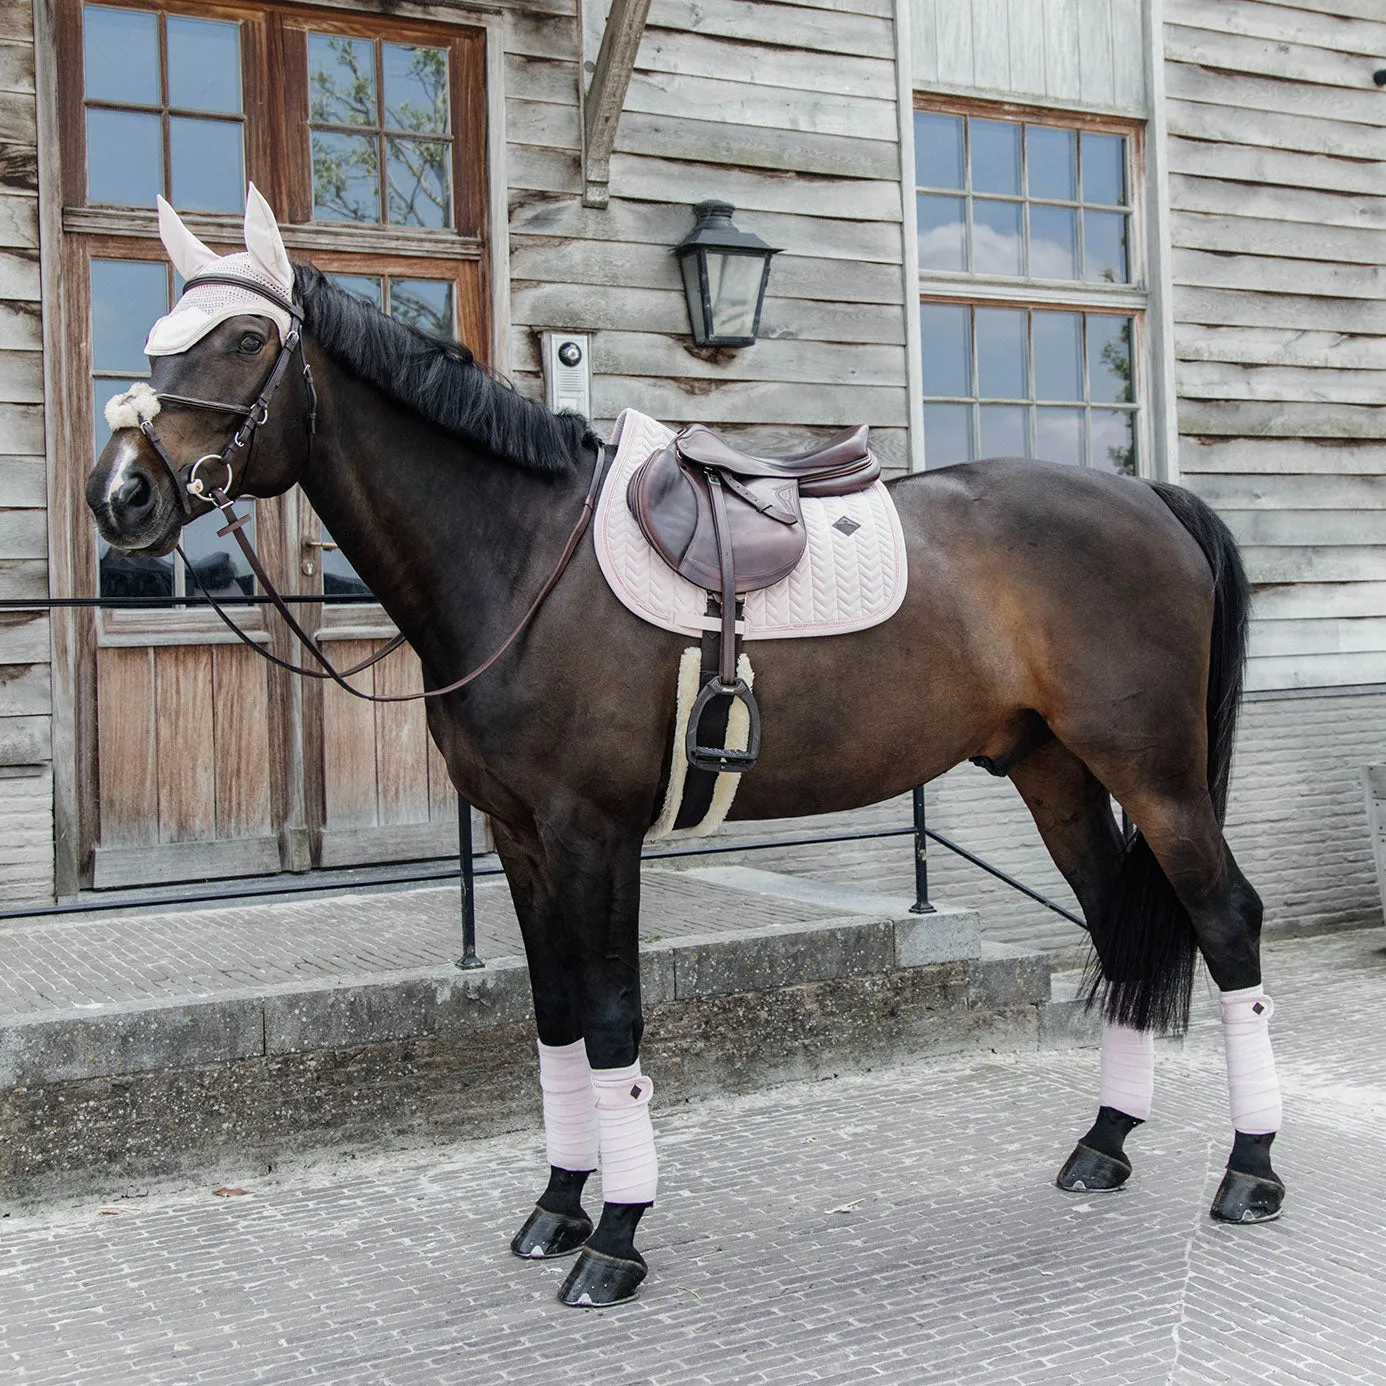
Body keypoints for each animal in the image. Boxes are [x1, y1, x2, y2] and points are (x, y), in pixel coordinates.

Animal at [83, 198, 1275, 1308]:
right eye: (156, 339)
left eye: (244, 339)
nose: (120, 495)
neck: (524, 558)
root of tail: (1149, 495)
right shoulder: (519, 837)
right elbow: (557, 1018)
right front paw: (558, 1206)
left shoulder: (593, 835)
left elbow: (614, 1021)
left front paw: (615, 1238)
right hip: (1055, 772)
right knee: (1119, 928)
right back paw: (1104, 1145)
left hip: (1157, 777)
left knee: (1226, 922)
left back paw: (1250, 1172)